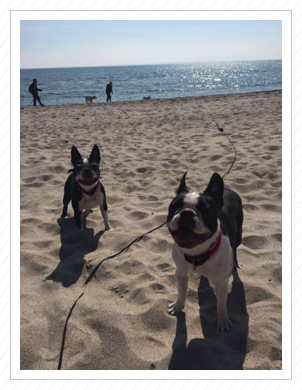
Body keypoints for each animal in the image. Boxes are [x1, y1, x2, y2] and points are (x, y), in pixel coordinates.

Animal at [166, 172, 242, 330]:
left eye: (206, 210)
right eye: (173, 206)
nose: (186, 213)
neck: (198, 254)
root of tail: (229, 189)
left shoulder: (222, 283)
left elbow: (221, 304)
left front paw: (223, 322)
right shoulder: (180, 273)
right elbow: (181, 292)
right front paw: (177, 307)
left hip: (239, 235)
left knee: (236, 248)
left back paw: (235, 263)